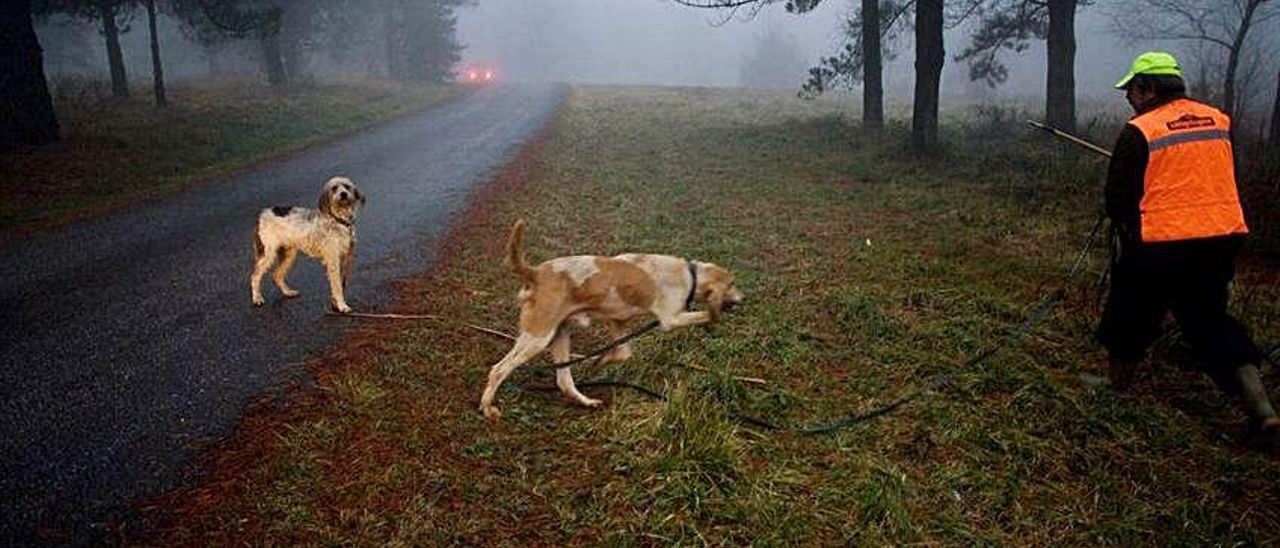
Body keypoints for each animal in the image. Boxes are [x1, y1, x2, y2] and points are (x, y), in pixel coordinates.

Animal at [249, 176, 363, 312]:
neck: (338, 220)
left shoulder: (344, 256)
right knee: (255, 276)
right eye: (334, 188)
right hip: (267, 253)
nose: (343, 194)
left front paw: (336, 303)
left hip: (289, 254)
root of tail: (262, 213)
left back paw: (287, 292)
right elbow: (337, 286)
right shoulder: (332, 259)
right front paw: (341, 305)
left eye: (347, 186)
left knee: (277, 274)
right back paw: (257, 298)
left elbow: (340, 283)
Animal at [478, 218, 742, 419]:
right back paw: (488, 408)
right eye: (732, 284)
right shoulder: (671, 319)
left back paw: (586, 401)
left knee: (564, 381)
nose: (744, 298)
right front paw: (713, 317)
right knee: (498, 370)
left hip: (560, 335)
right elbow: (705, 314)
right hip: (537, 338)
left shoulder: (618, 321)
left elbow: (622, 352)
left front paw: (600, 361)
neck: (690, 274)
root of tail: (536, 272)